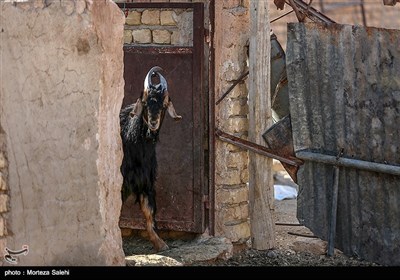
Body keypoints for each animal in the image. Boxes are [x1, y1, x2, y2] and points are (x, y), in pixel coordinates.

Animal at [119, 66, 181, 252]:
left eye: (164, 104)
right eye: (145, 103)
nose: (153, 123)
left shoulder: (146, 179)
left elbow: (149, 211)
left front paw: (160, 244)